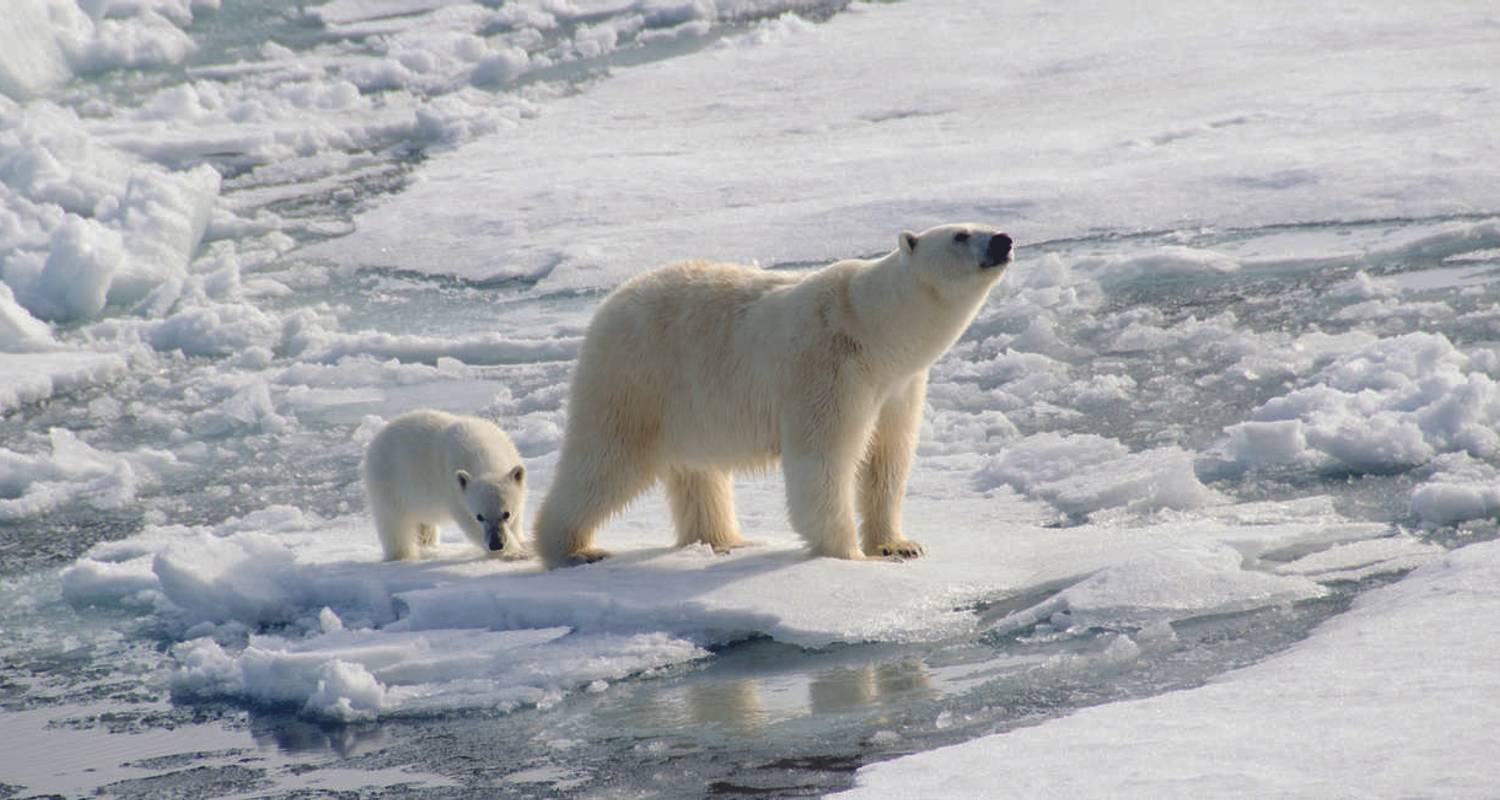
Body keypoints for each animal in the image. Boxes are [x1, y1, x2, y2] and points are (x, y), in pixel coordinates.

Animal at [534, 222, 1014, 564]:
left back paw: (723, 539)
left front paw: (899, 544)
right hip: (636, 378)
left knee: (697, 471)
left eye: (985, 223)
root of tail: (607, 305)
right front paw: (847, 553)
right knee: (606, 458)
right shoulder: (827, 368)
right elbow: (823, 458)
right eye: (960, 234)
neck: (873, 330)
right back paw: (574, 547)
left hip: (686, 402)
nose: (1004, 240)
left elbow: (887, 459)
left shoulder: (898, 386)